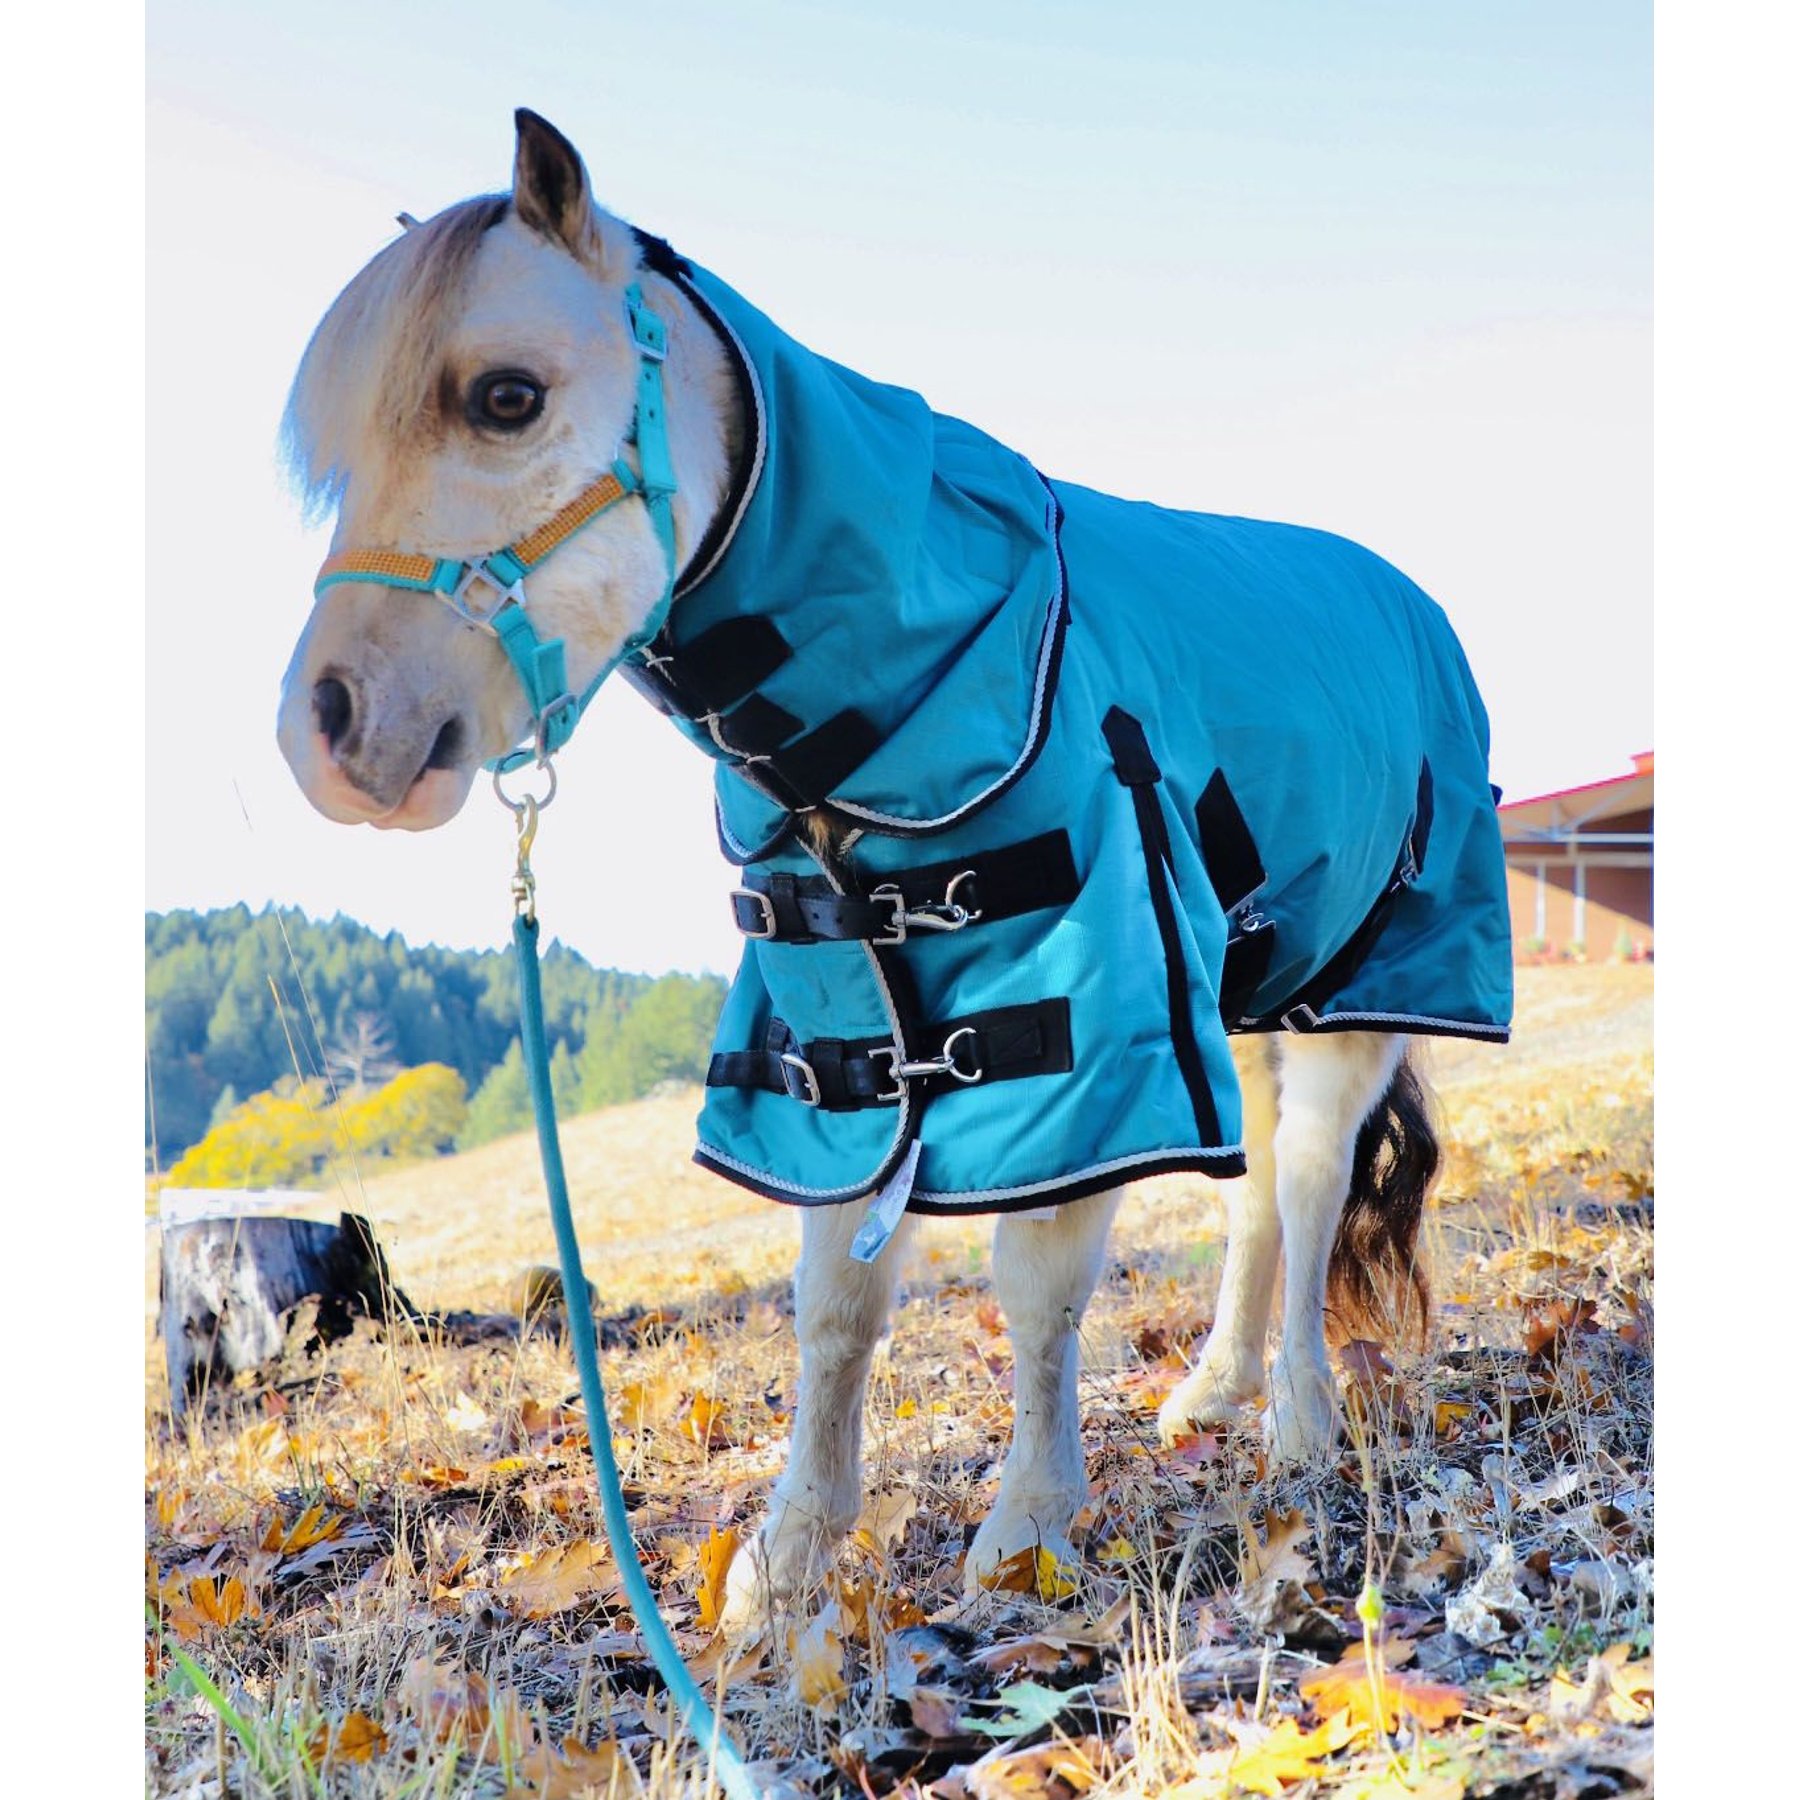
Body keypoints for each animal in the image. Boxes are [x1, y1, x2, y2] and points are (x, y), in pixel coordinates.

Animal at [276, 111, 1511, 1631]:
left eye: (505, 396)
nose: (330, 734)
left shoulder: (1083, 1016)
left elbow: (1036, 1280)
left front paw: (1027, 1533)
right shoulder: (837, 1034)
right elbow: (835, 1305)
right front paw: (787, 1561)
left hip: (1356, 991)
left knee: (1310, 1179)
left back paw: (1297, 1425)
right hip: (1239, 988)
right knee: (1265, 1190)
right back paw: (1215, 1392)